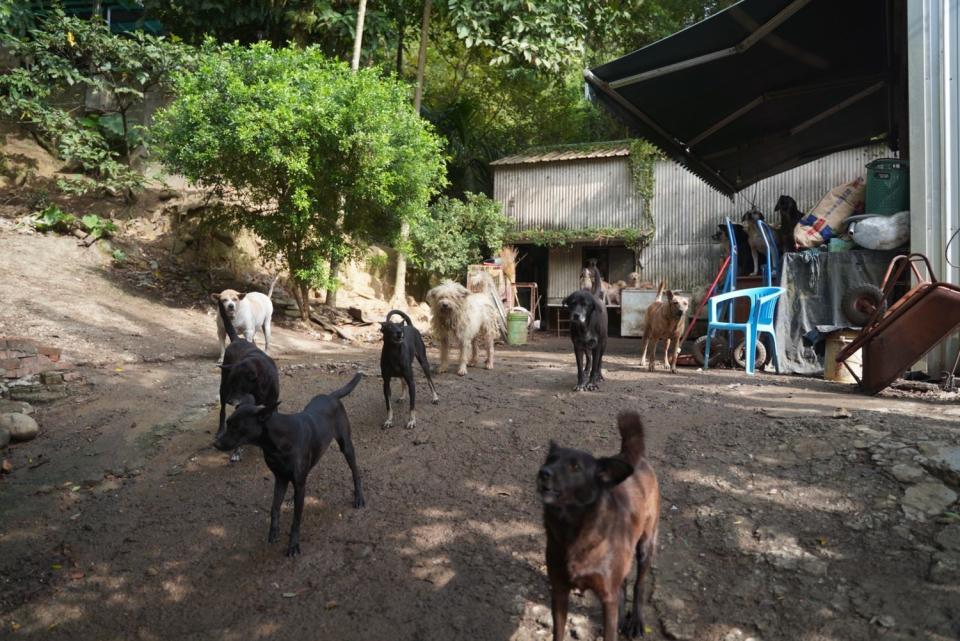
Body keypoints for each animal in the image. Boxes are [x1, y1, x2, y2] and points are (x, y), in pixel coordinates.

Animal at [215, 372, 368, 556]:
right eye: (228, 423)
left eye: (237, 426)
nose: (215, 443)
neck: (277, 442)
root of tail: (331, 396)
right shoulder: (280, 478)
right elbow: (274, 508)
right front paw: (273, 532)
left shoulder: (298, 483)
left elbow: (296, 519)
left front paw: (293, 545)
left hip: (346, 446)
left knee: (355, 472)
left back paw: (359, 497)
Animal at [217, 296, 278, 460]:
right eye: (232, 384)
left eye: (239, 385)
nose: (230, 401)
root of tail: (237, 339)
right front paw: (236, 452)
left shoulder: (272, 404)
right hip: (222, 388)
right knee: (222, 412)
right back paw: (220, 430)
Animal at [540, 410, 660, 640]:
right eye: (550, 459)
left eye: (575, 467)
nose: (543, 472)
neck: (572, 528)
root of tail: (629, 455)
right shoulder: (559, 591)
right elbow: (558, 632)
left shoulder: (607, 597)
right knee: (623, 584)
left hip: (646, 545)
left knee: (639, 584)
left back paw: (636, 621)